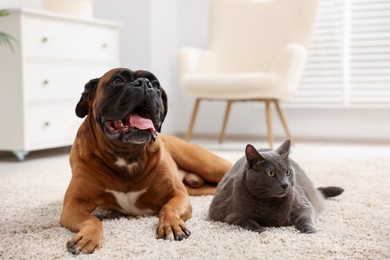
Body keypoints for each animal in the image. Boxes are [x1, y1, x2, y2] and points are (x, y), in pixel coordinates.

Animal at [60, 67, 232, 254]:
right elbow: (92, 220)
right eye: (118, 80)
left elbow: (168, 208)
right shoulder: (74, 205)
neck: (127, 154)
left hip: (209, 166)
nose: (144, 83)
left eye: (155, 84)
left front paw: (172, 225)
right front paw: (88, 237)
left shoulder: (178, 195)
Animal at [209, 140, 342, 234]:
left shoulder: (305, 206)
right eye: (271, 173)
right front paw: (260, 230)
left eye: (288, 172)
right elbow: (247, 220)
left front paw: (310, 230)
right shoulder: (230, 215)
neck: (270, 203)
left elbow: (305, 218)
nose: (285, 184)